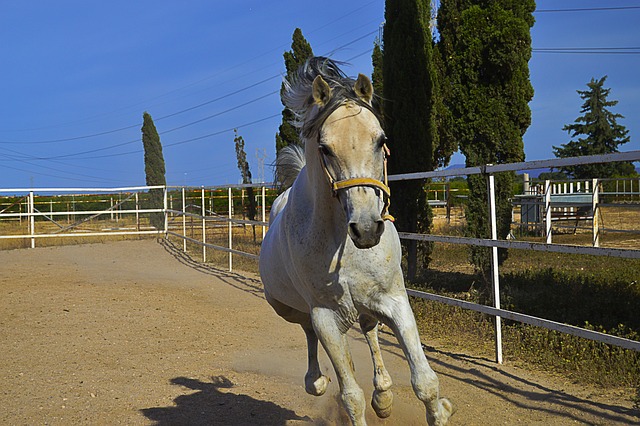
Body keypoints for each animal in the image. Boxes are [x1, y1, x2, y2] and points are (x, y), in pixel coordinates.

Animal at [258, 57, 452, 426]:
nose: (366, 229)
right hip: (289, 308)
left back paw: (384, 395)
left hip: (368, 303)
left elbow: (425, 381)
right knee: (308, 331)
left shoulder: (395, 300)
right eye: (325, 148)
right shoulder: (325, 318)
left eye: (381, 140)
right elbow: (351, 396)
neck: (341, 245)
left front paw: (441, 409)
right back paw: (316, 381)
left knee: (369, 328)